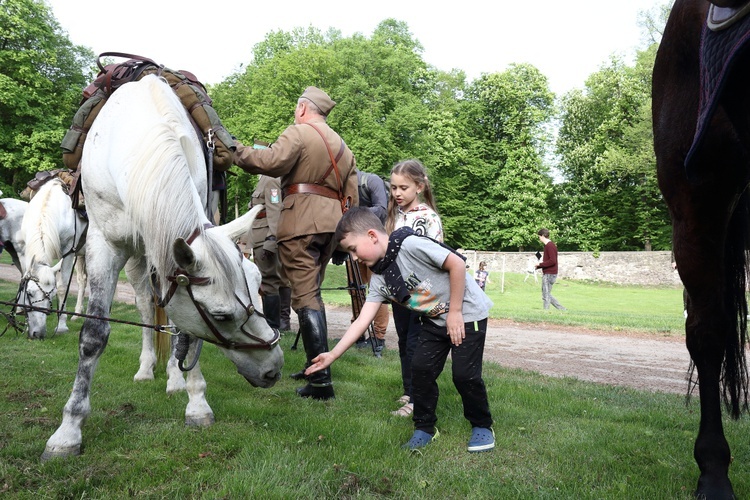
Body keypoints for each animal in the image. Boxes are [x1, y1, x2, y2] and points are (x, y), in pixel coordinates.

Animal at [18, 180, 87, 340]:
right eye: (29, 293)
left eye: (53, 294)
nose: (38, 333)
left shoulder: (69, 251)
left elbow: (63, 287)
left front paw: (61, 326)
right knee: (83, 280)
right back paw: (78, 314)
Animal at [44, 75, 284, 460]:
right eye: (220, 316)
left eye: (258, 281)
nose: (273, 368)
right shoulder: (104, 244)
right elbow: (94, 335)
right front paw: (68, 430)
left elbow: (186, 330)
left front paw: (196, 401)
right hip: (138, 259)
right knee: (145, 305)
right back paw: (147, 368)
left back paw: (173, 377)